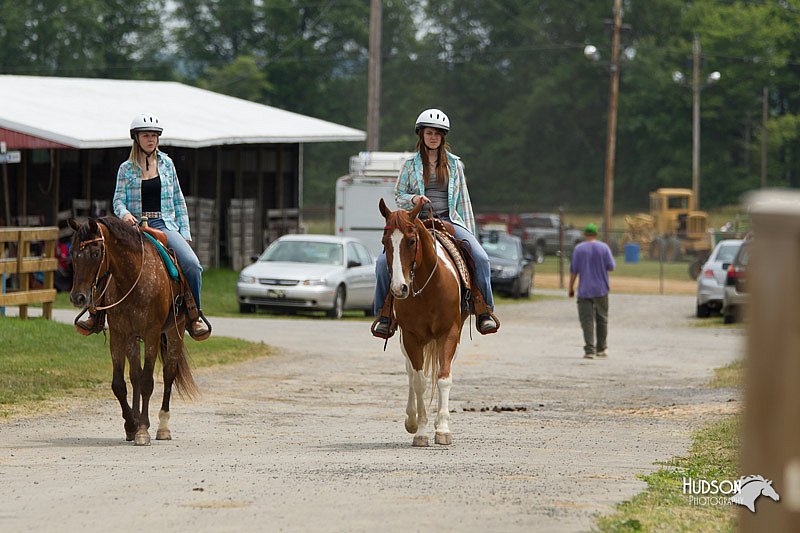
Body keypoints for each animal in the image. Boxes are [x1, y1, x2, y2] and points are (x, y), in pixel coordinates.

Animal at [70, 216, 198, 444]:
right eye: (72, 253)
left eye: (96, 253)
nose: (78, 297)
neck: (133, 278)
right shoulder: (120, 334)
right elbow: (120, 384)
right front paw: (132, 425)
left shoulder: (152, 334)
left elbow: (148, 382)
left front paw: (142, 430)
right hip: (133, 339)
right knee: (135, 375)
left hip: (175, 331)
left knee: (168, 374)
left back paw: (163, 427)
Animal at [380, 196, 472, 444]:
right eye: (385, 243)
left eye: (411, 241)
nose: (399, 288)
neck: (429, 288)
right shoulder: (411, 337)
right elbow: (419, 381)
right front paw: (420, 430)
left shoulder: (449, 333)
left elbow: (443, 377)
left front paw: (443, 429)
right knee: (411, 373)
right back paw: (411, 420)